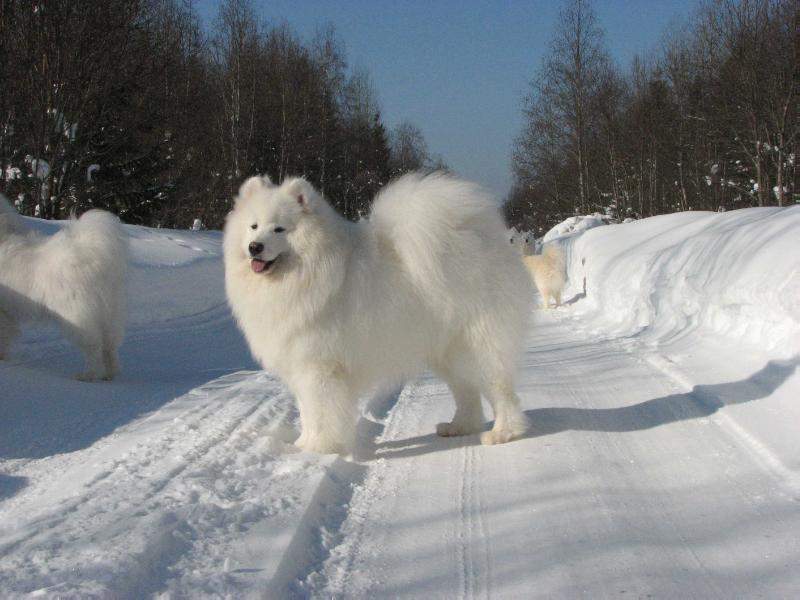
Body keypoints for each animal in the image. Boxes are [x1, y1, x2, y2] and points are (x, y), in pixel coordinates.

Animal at [0, 195, 128, 380]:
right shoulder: (7, 314)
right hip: (111, 314)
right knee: (110, 347)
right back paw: (110, 375)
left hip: (77, 316)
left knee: (93, 347)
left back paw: (88, 375)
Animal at [225, 171, 536, 452]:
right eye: (253, 226)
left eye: (279, 229)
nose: (255, 247)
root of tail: (485, 242)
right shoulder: (300, 365)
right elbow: (307, 413)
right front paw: (303, 443)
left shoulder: (319, 368)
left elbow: (321, 413)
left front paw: (318, 448)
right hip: (448, 352)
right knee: (467, 392)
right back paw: (459, 427)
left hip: (478, 346)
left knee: (501, 391)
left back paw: (503, 433)